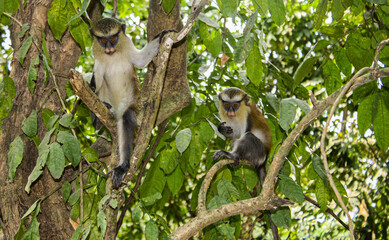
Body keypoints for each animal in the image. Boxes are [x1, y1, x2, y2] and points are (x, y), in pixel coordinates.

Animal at [90, 17, 174, 189]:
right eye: (103, 40)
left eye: (113, 39)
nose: (109, 49)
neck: (113, 56)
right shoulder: (98, 62)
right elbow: (97, 81)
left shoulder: (128, 46)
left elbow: (140, 60)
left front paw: (164, 34)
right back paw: (98, 118)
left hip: (128, 103)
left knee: (127, 118)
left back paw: (123, 167)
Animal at [212, 87, 278, 240]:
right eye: (226, 104)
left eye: (235, 105)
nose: (230, 111)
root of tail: (263, 160)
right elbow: (233, 135)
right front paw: (221, 129)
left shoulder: (246, 115)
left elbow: (241, 135)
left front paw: (232, 154)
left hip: (257, 152)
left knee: (248, 137)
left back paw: (233, 155)